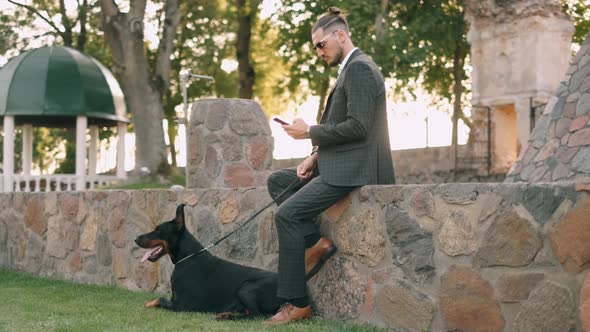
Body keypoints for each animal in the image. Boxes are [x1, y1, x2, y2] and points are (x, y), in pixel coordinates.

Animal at [135, 204, 284, 318]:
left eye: (158, 230)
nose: (135, 239)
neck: (187, 257)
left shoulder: (183, 304)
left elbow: (160, 299)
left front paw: (147, 304)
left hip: (246, 287)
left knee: (255, 315)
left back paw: (226, 316)